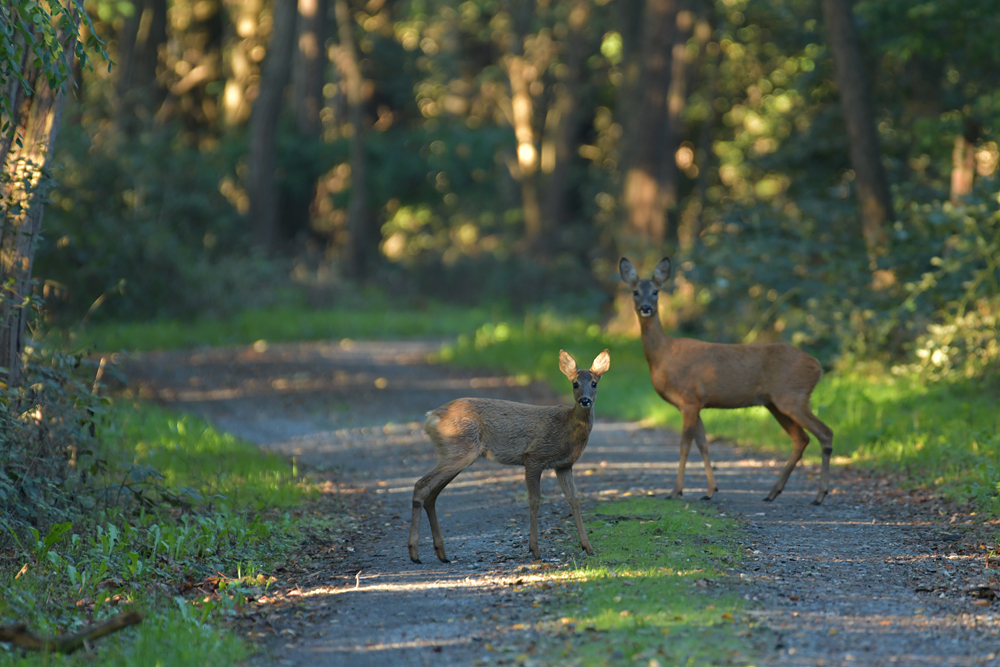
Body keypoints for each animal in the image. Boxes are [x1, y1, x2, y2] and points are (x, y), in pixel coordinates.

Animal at [406, 350, 608, 564]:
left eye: (594, 383)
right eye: (574, 383)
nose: (585, 400)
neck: (567, 428)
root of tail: (430, 417)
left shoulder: (563, 465)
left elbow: (574, 499)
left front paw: (588, 547)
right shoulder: (534, 456)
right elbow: (534, 500)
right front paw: (535, 550)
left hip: (456, 453)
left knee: (432, 494)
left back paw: (441, 553)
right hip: (460, 449)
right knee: (421, 485)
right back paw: (414, 553)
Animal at [620, 258, 832, 504]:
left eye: (655, 291)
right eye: (635, 292)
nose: (646, 308)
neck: (662, 355)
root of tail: (817, 366)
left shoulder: (689, 399)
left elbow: (685, 445)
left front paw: (676, 491)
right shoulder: (697, 403)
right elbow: (703, 444)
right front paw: (710, 490)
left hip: (793, 396)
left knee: (825, 433)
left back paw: (819, 495)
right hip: (775, 403)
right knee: (801, 439)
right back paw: (773, 492)